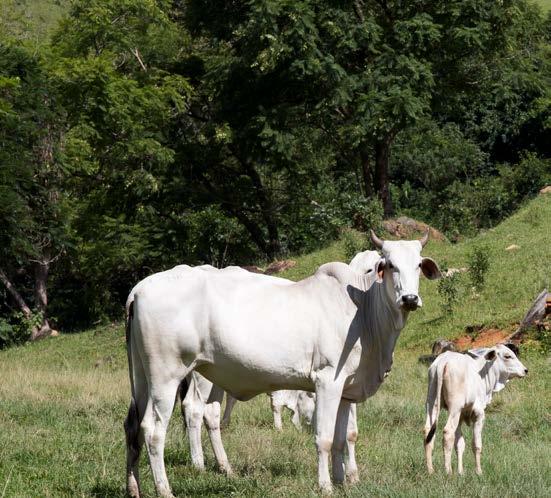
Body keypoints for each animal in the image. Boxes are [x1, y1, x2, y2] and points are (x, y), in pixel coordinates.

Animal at [124, 231, 440, 496]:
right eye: (390, 265)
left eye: (417, 266)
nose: (409, 298)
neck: (362, 310)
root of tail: (139, 288)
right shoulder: (327, 381)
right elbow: (325, 437)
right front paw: (326, 485)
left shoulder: (347, 389)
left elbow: (343, 437)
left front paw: (343, 480)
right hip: (167, 377)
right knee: (156, 429)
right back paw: (166, 489)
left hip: (144, 377)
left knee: (135, 426)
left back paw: (136, 487)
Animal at [424, 344, 528, 476]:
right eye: (507, 356)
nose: (525, 370)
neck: (482, 374)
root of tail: (443, 361)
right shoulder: (478, 414)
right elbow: (476, 445)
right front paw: (479, 472)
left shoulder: (461, 416)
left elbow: (460, 445)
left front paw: (461, 472)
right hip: (454, 408)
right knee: (448, 432)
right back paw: (448, 471)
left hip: (432, 403)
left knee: (428, 432)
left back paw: (430, 470)